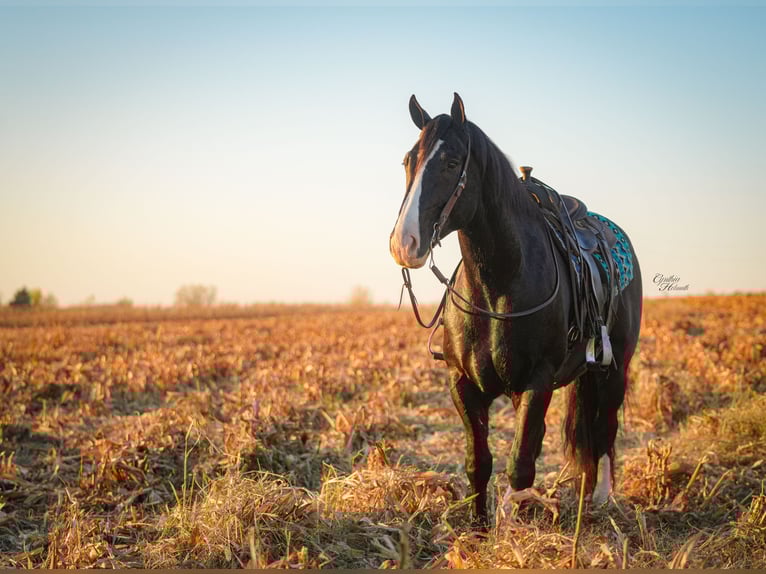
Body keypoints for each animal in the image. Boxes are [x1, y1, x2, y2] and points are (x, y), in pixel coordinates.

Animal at [389, 93, 642, 526]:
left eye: (452, 163)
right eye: (408, 160)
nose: (404, 243)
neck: (498, 287)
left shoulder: (536, 383)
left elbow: (520, 465)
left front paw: (513, 528)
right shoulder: (463, 384)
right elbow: (479, 463)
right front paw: (478, 530)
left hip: (615, 369)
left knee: (605, 430)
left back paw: (601, 500)